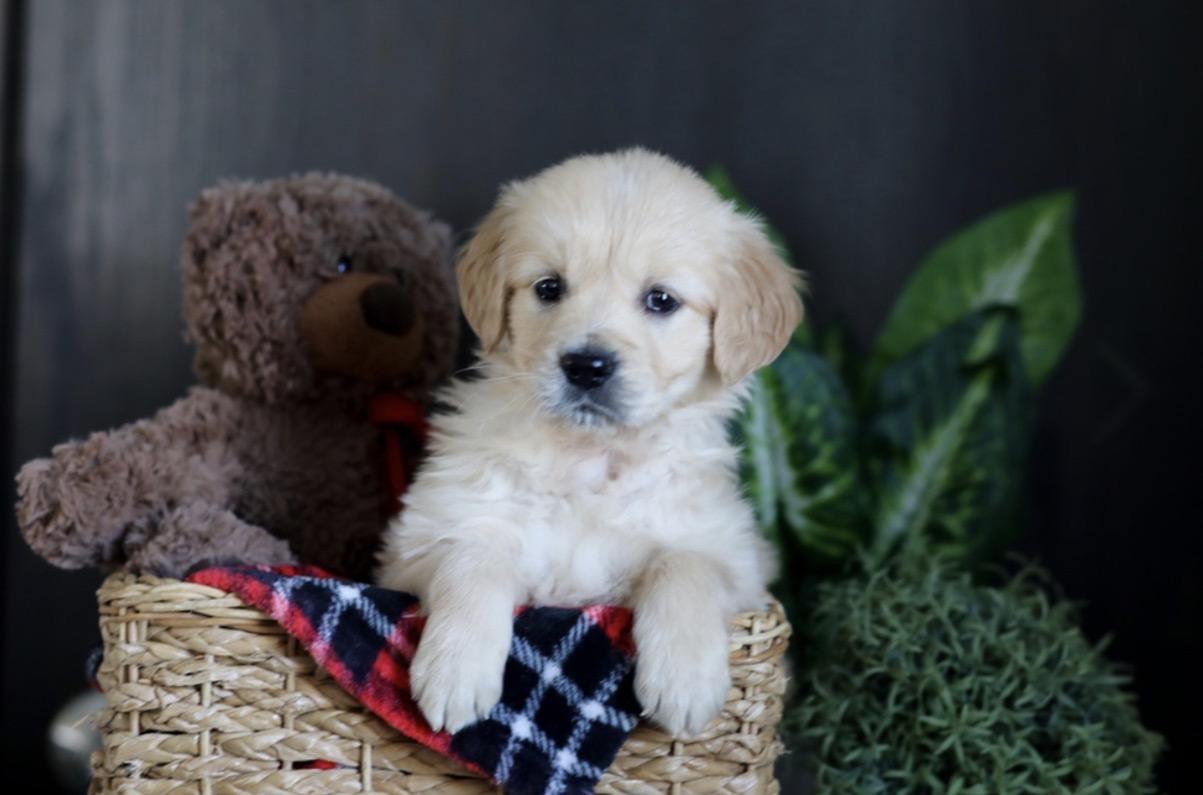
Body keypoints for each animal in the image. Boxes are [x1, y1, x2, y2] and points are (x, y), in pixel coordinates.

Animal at [376, 148, 802, 737]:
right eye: (549, 288)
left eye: (661, 300)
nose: (586, 367)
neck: (587, 456)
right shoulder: (414, 545)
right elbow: (473, 556)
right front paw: (455, 669)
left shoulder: (741, 565)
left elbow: (685, 565)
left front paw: (685, 679)